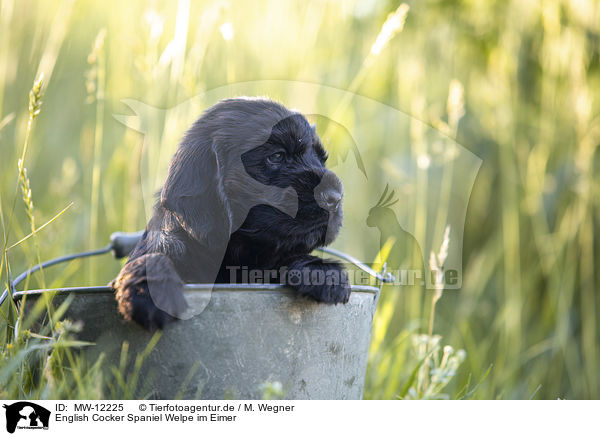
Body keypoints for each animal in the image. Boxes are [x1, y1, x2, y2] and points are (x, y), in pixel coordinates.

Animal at [110, 98, 350, 330]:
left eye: (322, 159)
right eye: (277, 156)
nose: (335, 197)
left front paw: (324, 273)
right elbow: (155, 256)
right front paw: (149, 295)